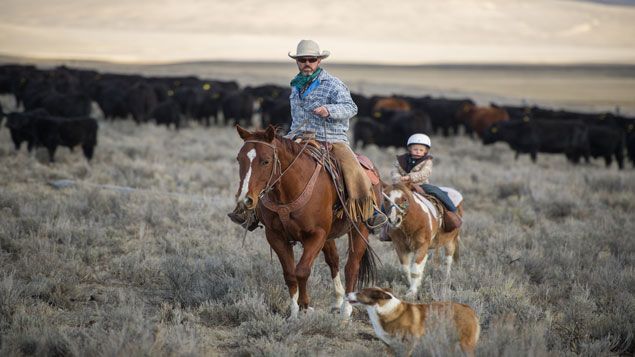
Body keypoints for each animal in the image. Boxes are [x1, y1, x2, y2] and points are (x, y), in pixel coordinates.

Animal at [235, 124, 378, 318]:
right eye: (239, 159)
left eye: (265, 161)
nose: (245, 199)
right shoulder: (275, 236)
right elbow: (290, 273)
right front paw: (294, 313)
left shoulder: (317, 234)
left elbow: (302, 271)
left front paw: (304, 306)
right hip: (329, 236)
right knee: (333, 260)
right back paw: (338, 301)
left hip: (359, 228)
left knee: (351, 266)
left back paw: (346, 309)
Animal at [348, 288, 482, 354]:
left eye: (360, 292)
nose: (347, 293)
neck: (384, 310)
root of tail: (469, 309)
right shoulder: (390, 347)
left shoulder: (408, 345)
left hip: (465, 345)